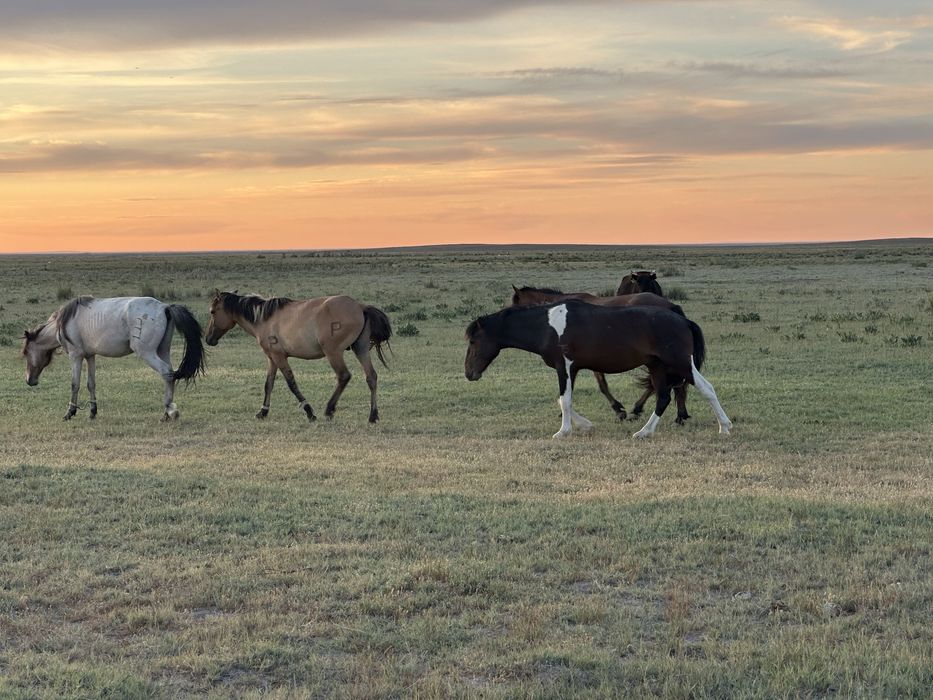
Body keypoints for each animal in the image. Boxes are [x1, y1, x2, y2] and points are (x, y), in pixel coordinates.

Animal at [21, 296, 205, 421]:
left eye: (26, 353)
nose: (29, 381)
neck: (64, 322)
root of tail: (164, 307)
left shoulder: (76, 356)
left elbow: (75, 384)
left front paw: (70, 412)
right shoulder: (90, 356)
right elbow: (91, 383)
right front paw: (92, 412)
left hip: (147, 353)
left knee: (166, 372)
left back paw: (169, 411)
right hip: (163, 351)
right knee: (171, 375)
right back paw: (167, 411)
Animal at [205, 291, 392, 423]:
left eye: (212, 311)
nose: (208, 339)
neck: (263, 318)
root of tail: (360, 306)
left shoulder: (279, 357)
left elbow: (291, 383)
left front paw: (309, 411)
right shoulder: (271, 358)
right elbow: (268, 384)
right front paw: (263, 411)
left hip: (333, 353)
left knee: (344, 376)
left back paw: (329, 409)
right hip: (361, 349)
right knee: (371, 377)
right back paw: (373, 416)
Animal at [465, 300, 731, 439]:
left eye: (473, 341)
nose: (469, 373)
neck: (549, 326)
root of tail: (683, 319)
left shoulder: (564, 367)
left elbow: (564, 400)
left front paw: (563, 432)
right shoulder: (573, 369)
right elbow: (563, 400)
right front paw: (585, 425)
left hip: (680, 363)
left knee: (706, 389)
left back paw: (724, 427)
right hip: (656, 365)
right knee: (663, 397)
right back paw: (643, 432)